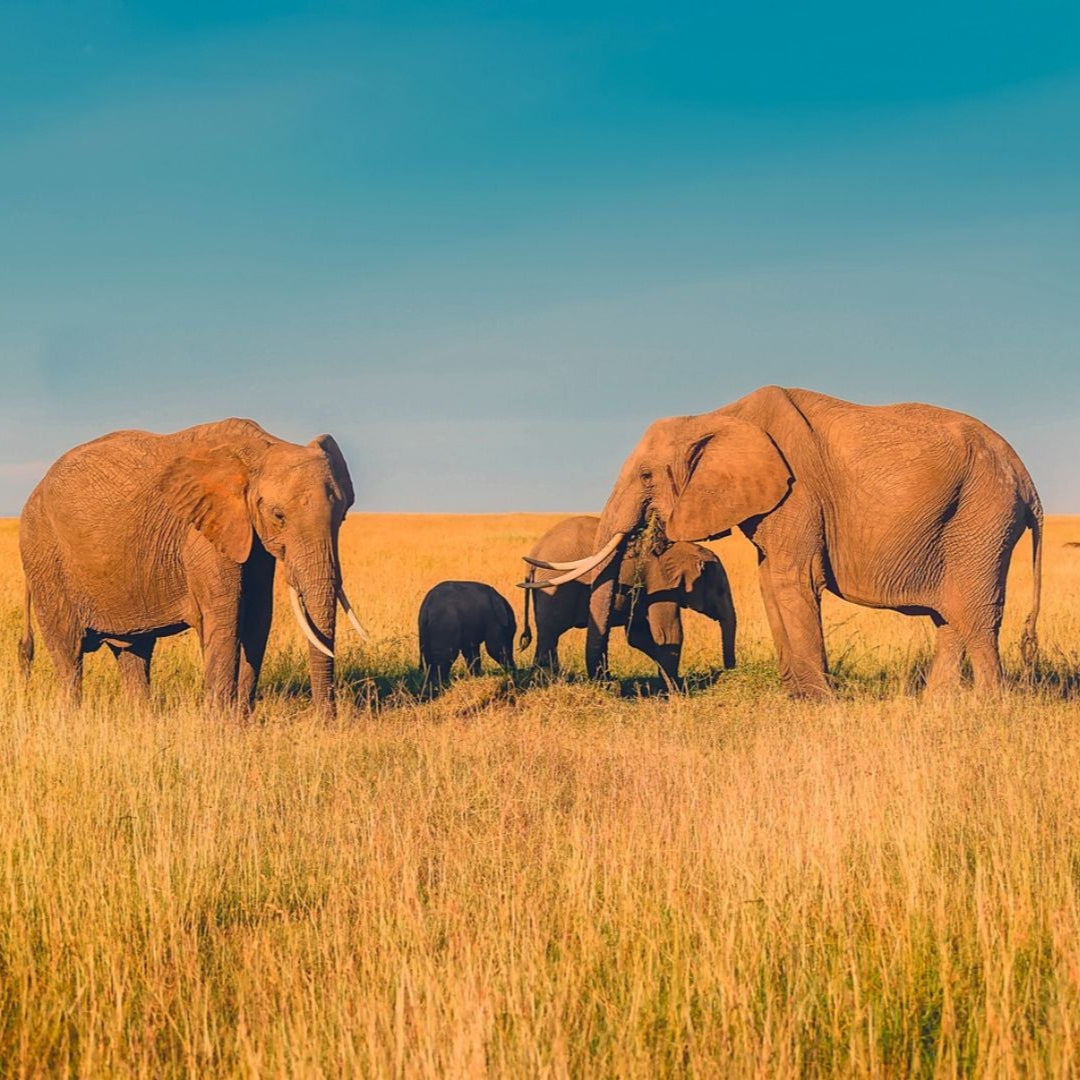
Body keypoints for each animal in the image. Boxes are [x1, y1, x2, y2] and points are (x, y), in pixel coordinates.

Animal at [18, 418, 366, 715]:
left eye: (342, 516)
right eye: (278, 515)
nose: (327, 722)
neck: (259, 448)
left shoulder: (249, 536)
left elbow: (257, 617)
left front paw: (241, 722)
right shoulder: (201, 533)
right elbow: (225, 618)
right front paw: (220, 726)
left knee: (133, 651)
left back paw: (143, 720)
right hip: (44, 555)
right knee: (69, 652)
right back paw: (72, 718)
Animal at [518, 515, 736, 686]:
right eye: (720, 591)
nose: (729, 670)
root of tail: (534, 553)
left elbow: (637, 636)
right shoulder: (660, 583)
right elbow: (667, 634)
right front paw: (677, 691)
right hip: (557, 589)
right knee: (550, 633)